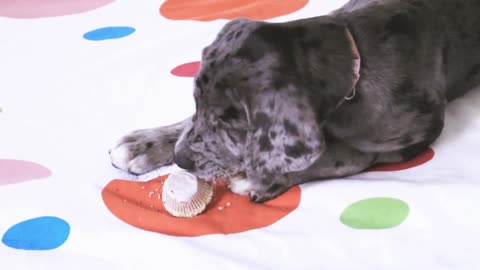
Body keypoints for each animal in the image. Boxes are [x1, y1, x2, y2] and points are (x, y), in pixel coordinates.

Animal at [110, 0, 480, 202]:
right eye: (197, 102)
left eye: (230, 122)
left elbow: (342, 155)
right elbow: (187, 124)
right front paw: (147, 142)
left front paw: (264, 178)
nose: (180, 159)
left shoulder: (413, 136)